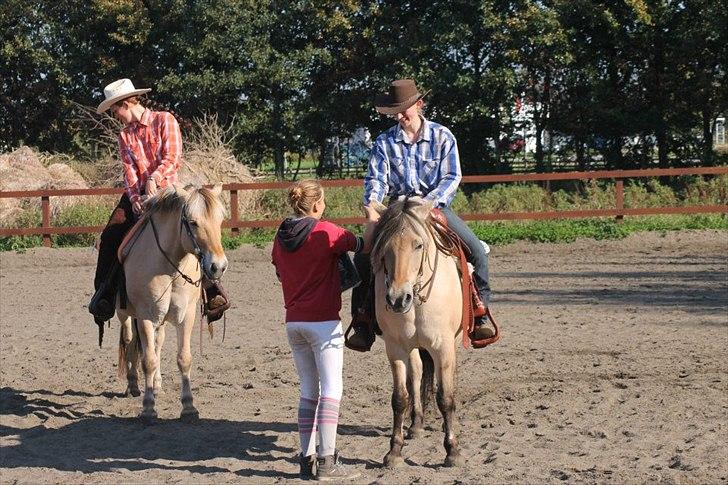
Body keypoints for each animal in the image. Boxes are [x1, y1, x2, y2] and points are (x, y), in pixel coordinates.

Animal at [370, 196, 466, 466]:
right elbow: (399, 398)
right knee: (417, 373)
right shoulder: (395, 348)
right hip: (412, 347)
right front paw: (394, 450)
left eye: (418, 245)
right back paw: (416, 424)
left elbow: (445, 397)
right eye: (384, 247)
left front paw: (452, 450)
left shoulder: (443, 347)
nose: (397, 298)